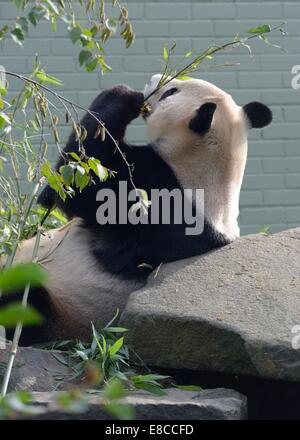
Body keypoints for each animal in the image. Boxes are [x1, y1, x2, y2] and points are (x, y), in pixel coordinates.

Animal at [0, 75, 272, 344]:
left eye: (171, 92)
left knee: (24, 301)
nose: (153, 79)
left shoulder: (156, 200)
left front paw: (125, 94)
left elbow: (83, 183)